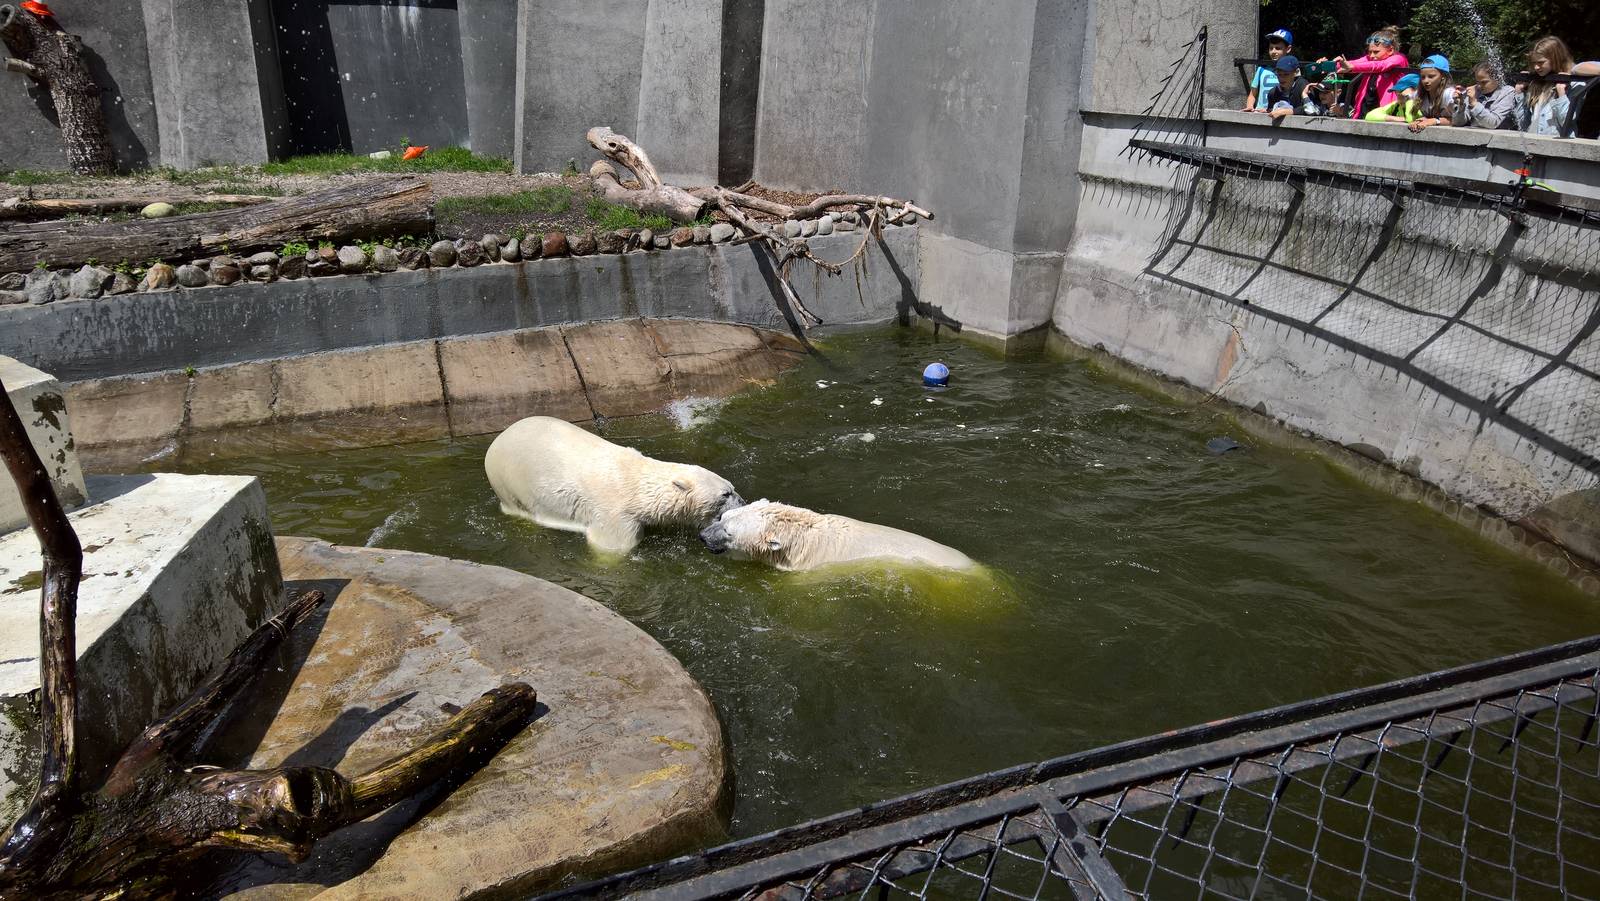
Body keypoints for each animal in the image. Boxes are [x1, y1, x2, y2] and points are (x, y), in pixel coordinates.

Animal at [485, 416, 743, 554]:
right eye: (725, 494)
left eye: (731, 488)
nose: (742, 502)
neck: (638, 486)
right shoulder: (614, 515)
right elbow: (613, 546)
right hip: (509, 479)